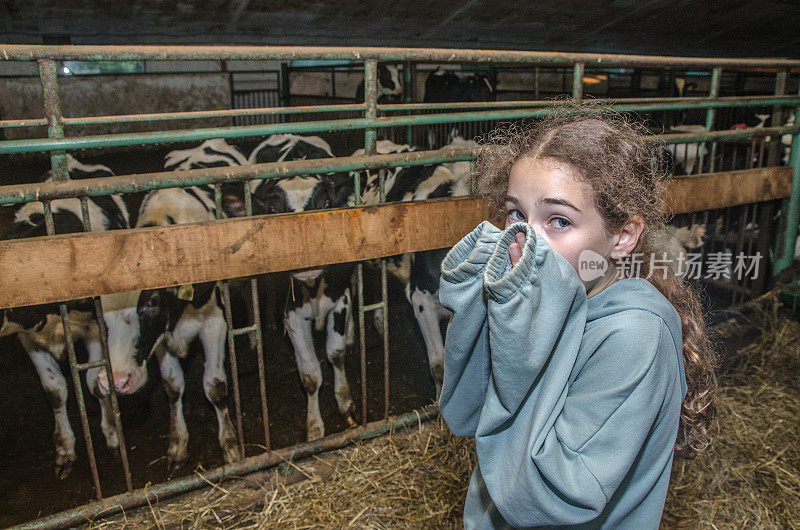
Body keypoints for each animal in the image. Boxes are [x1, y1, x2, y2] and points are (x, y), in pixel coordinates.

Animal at [0, 155, 139, 476]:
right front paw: (65, 450)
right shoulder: (28, 338)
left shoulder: (96, 325)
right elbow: (54, 391)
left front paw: (113, 438)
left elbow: (95, 383)